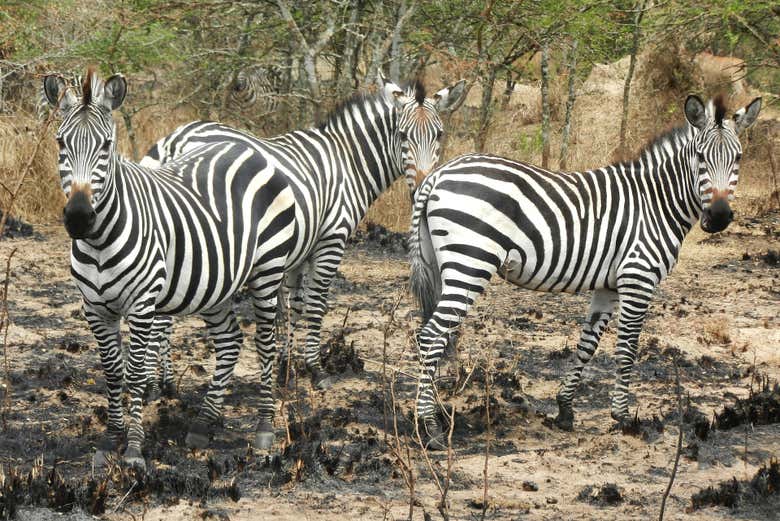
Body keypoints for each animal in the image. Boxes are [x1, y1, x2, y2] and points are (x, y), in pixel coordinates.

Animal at [42, 69, 298, 469]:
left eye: (107, 146)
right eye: (60, 143)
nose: (80, 217)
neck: (99, 242)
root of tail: (247, 146)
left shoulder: (142, 304)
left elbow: (134, 373)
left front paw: (133, 449)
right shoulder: (94, 309)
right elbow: (112, 373)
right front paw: (108, 442)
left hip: (268, 270)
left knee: (265, 343)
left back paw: (264, 430)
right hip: (216, 282)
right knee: (230, 341)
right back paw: (203, 425)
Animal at [141, 75, 466, 398]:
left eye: (439, 135)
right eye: (402, 135)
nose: (421, 188)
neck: (347, 161)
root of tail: (175, 140)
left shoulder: (299, 247)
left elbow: (293, 305)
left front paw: (286, 368)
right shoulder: (331, 239)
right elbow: (316, 303)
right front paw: (316, 369)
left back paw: (165, 383)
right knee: (161, 317)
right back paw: (156, 386)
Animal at [408, 94, 761, 448]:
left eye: (738, 158)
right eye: (700, 157)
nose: (719, 217)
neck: (656, 202)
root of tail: (437, 175)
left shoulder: (610, 285)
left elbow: (587, 343)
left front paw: (565, 410)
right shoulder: (638, 276)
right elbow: (626, 350)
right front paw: (622, 418)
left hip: (442, 263)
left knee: (432, 333)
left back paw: (436, 413)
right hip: (471, 262)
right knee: (431, 335)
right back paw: (430, 427)